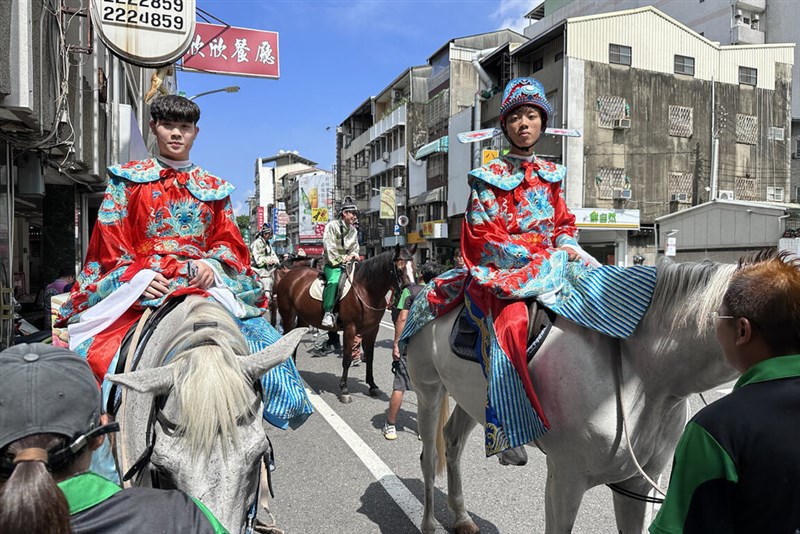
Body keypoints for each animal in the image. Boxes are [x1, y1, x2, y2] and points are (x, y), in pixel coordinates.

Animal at [274, 245, 412, 404]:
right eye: (400, 270)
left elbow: (370, 357)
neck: (366, 291)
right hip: (288, 315)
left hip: (303, 318)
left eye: (414, 268)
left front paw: (372, 385)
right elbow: (346, 359)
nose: (410, 294)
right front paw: (344, 390)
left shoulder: (372, 329)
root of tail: (290, 275)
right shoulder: (350, 329)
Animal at [410, 258, 740, 532]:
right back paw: (429, 524)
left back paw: (462, 517)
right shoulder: (565, 478)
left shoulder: (637, 483)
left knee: (452, 441)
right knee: (429, 456)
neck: (646, 377)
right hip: (428, 389)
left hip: (471, 399)